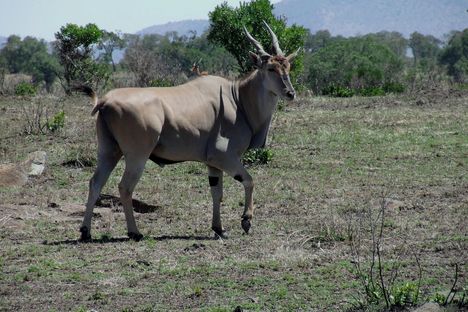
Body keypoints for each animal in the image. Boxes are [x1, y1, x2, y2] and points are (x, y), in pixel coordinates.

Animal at [76, 22, 296, 241]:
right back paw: (134, 232)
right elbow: (249, 181)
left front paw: (218, 228)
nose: (290, 93)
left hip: (109, 152)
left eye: (288, 67)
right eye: (271, 68)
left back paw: (86, 231)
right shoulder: (224, 157)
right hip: (137, 155)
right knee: (125, 187)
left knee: (95, 183)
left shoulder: (213, 164)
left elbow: (217, 193)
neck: (238, 98)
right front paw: (246, 220)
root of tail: (105, 101)